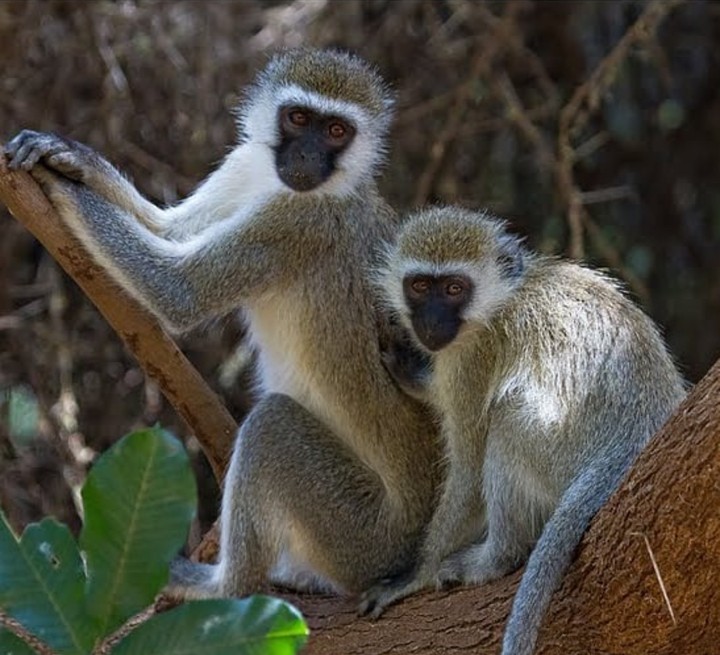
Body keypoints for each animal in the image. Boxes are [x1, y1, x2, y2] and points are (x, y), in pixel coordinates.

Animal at [4, 48, 442, 599]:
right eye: (299, 119)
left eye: (337, 131)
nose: (306, 160)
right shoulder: (244, 165)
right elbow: (169, 229)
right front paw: (74, 157)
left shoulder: (299, 221)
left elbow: (178, 289)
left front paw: (57, 185)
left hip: (359, 534)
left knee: (272, 425)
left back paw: (222, 586)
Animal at [361, 206, 686, 655]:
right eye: (420, 286)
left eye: (455, 289)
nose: (431, 322)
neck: (501, 299)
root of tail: (636, 441)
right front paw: (415, 372)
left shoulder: (474, 358)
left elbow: (468, 468)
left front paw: (415, 575)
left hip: (558, 457)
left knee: (507, 423)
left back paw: (496, 557)